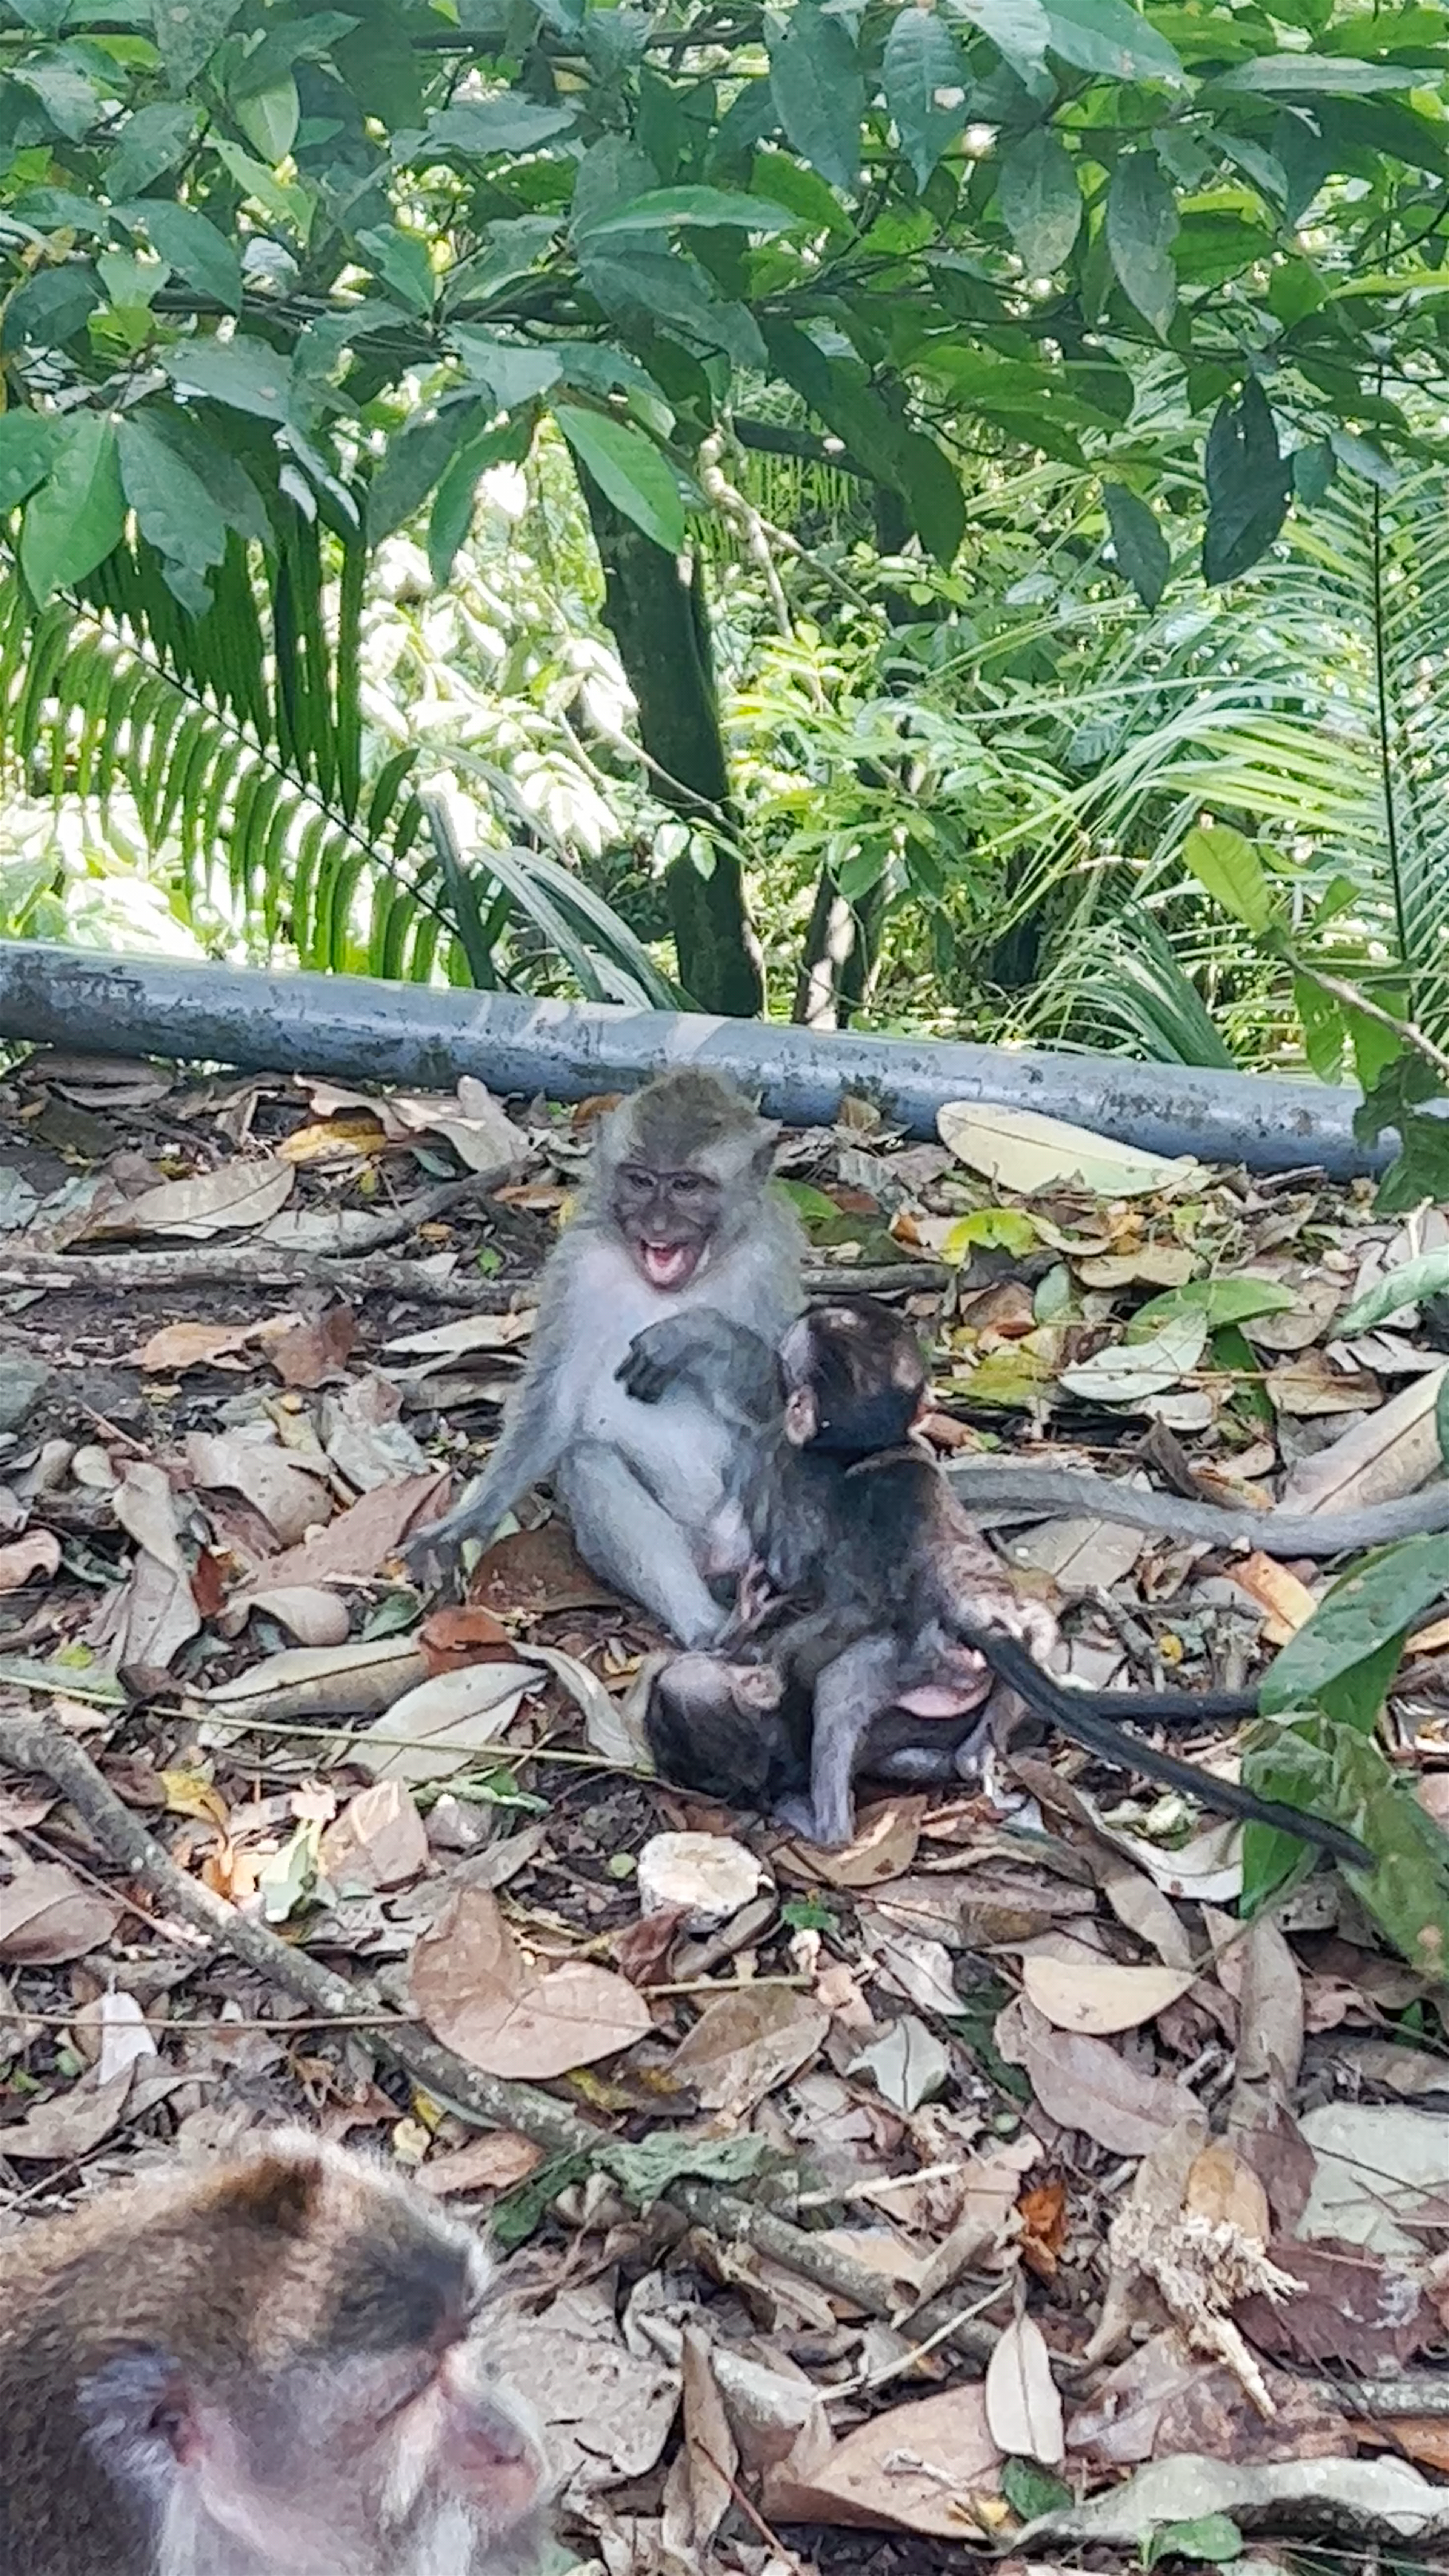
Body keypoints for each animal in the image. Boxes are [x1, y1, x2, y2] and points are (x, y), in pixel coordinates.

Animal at [407, 1068, 804, 1646]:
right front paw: (468, 1520)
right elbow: (553, 1402)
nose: (657, 1224)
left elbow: (798, 1400)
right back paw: (711, 1628)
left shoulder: (770, 1261)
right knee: (589, 1461)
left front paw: (696, 1336)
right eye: (640, 1180)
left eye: (686, 1186)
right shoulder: (578, 1266)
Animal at [629, 1300, 1372, 1867]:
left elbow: (781, 1571)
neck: (864, 1449)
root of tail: (974, 1616)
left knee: (843, 1687)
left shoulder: (788, 1472)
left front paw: (750, 1608)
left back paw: (828, 1821)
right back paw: (975, 1756)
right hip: (1002, 1629)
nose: (807, 1311)